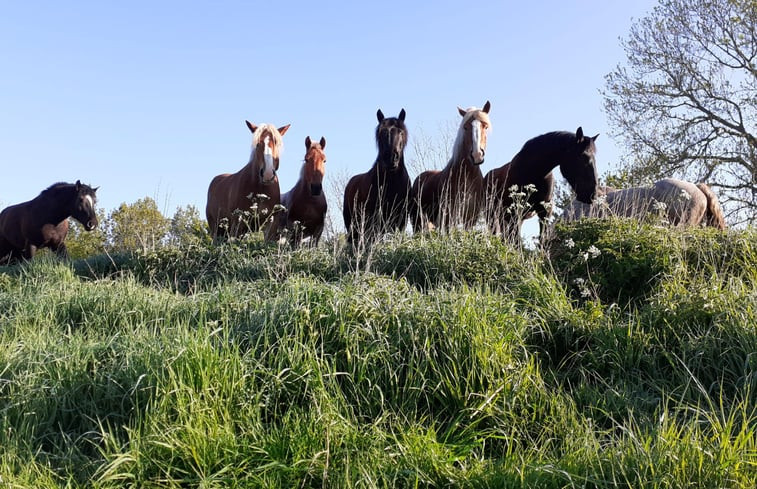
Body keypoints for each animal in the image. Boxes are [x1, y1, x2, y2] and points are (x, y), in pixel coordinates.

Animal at [410, 100, 494, 231]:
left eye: (485, 126)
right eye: (465, 127)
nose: (477, 155)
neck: (466, 176)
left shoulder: (470, 219)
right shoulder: (449, 219)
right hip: (418, 221)